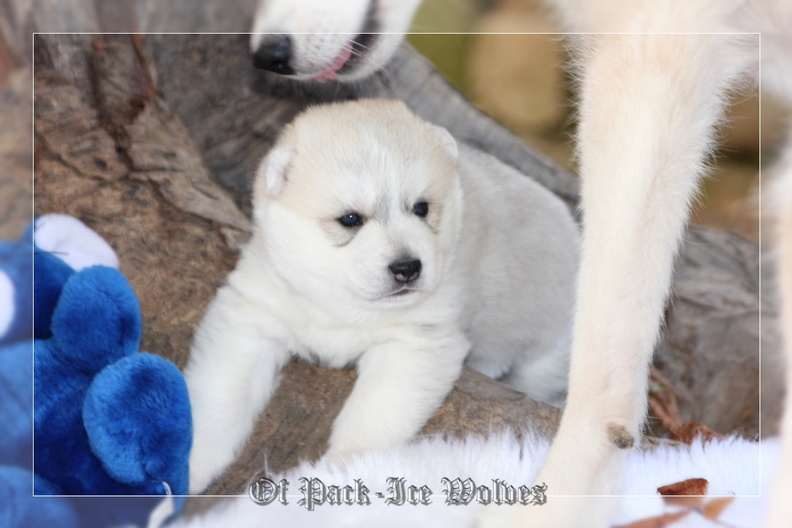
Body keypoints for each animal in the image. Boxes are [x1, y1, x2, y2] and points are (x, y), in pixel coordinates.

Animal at [188, 100, 580, 496]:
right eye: (350, 218)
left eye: (421, 208)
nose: (407, 267)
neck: (344, 305)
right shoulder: (253, 317)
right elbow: (219, 397)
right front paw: (190, 464)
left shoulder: (414, 344)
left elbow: (372, 418)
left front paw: (343, 470)